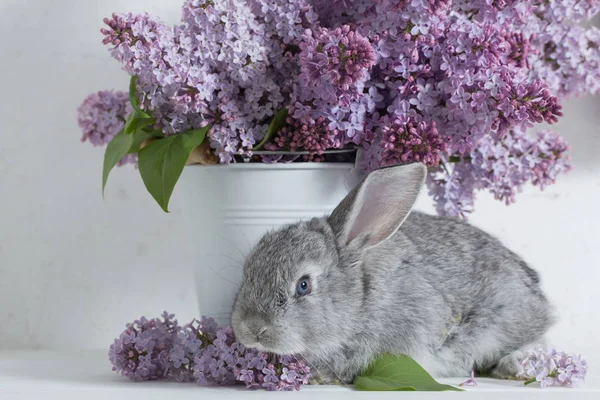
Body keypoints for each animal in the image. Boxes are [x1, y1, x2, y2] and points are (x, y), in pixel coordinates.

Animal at [231, 164, 552, 382]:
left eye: (304, 285)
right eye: (248, 270)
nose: (251, 329)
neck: (362, 302)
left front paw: (320, 376)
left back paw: (516, 365)